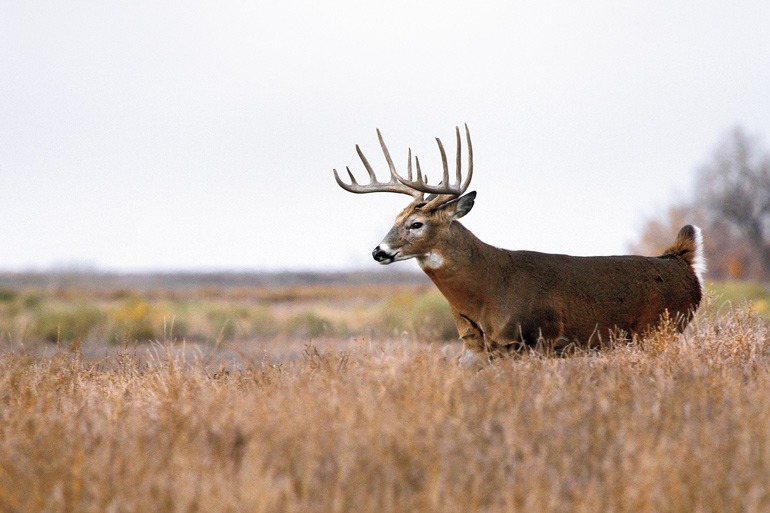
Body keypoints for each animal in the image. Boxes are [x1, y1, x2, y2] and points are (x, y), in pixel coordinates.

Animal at [332, 124, 704, 364]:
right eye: (394, 219)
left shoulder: (531, 341)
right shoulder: (475, 348)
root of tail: (681, 263)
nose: (378, 251)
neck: (487, 291)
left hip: (660, 329)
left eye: (416, 224)